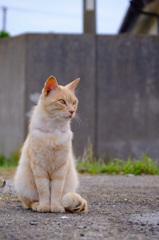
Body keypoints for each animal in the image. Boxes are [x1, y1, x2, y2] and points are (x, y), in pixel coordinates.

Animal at [14, 76, 87, 213]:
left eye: (74, 102)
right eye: (62, 101)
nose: (72, 111)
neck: (54, 130)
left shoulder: (60, 168)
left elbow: (56, 191)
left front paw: (56, 206)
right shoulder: (39, 167)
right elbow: (43, 191)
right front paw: (44, 206)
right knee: (30, 202)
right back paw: (37, 205)